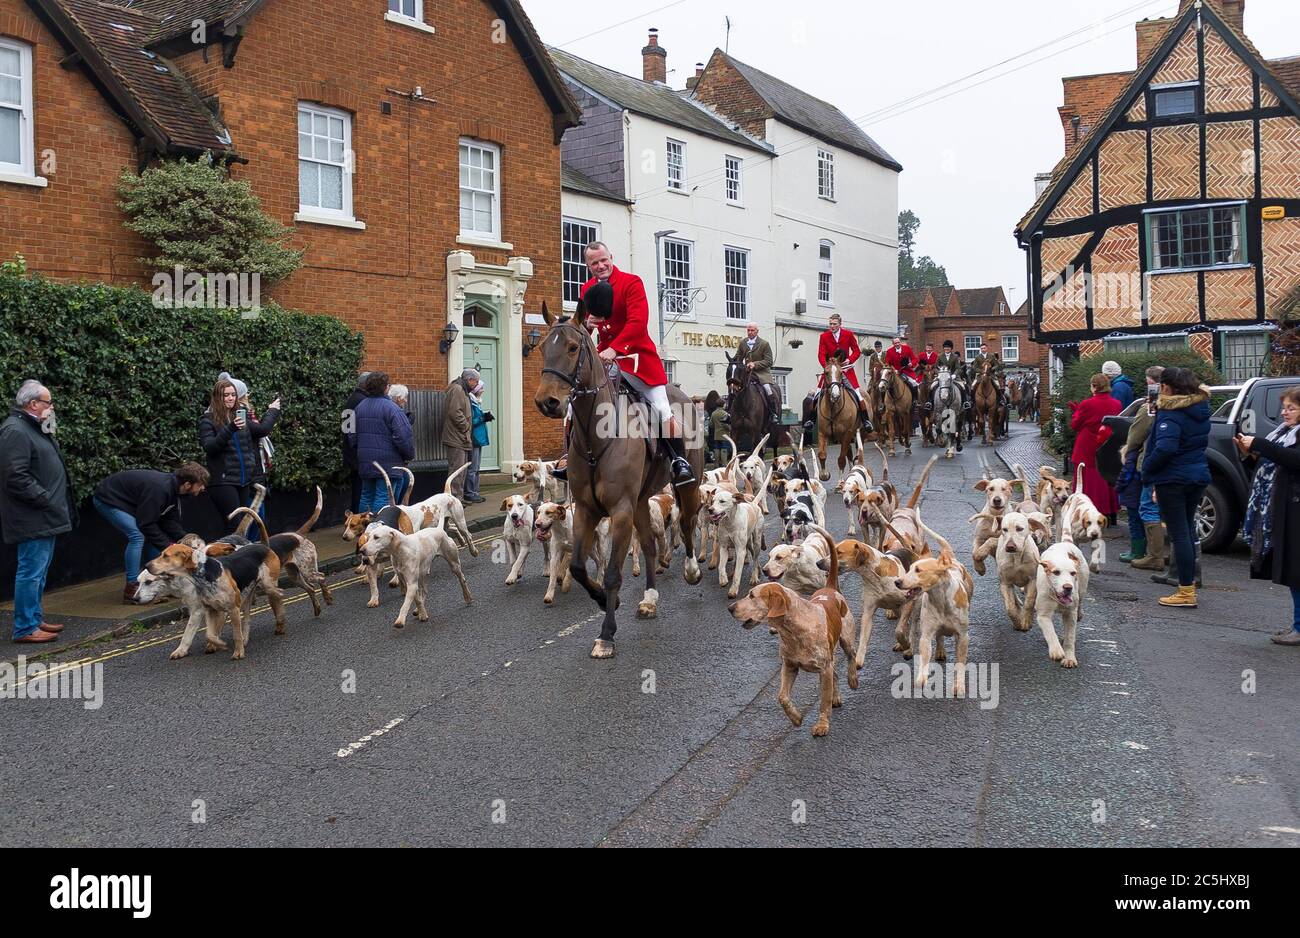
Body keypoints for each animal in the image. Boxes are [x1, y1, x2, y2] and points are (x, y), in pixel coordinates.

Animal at [533, 300, 707, 657]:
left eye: (572, 348)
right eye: (543, 348)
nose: (547, 402)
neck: (595, 438)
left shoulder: (621, 511)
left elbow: (613, 572)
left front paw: (607, 633)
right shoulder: (587, 510)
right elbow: (578, 567)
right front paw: (602, 600)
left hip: (687, 486)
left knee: (686, 523)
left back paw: (692, 570)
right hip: (640, 501)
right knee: (652, 546)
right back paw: (650, 599)